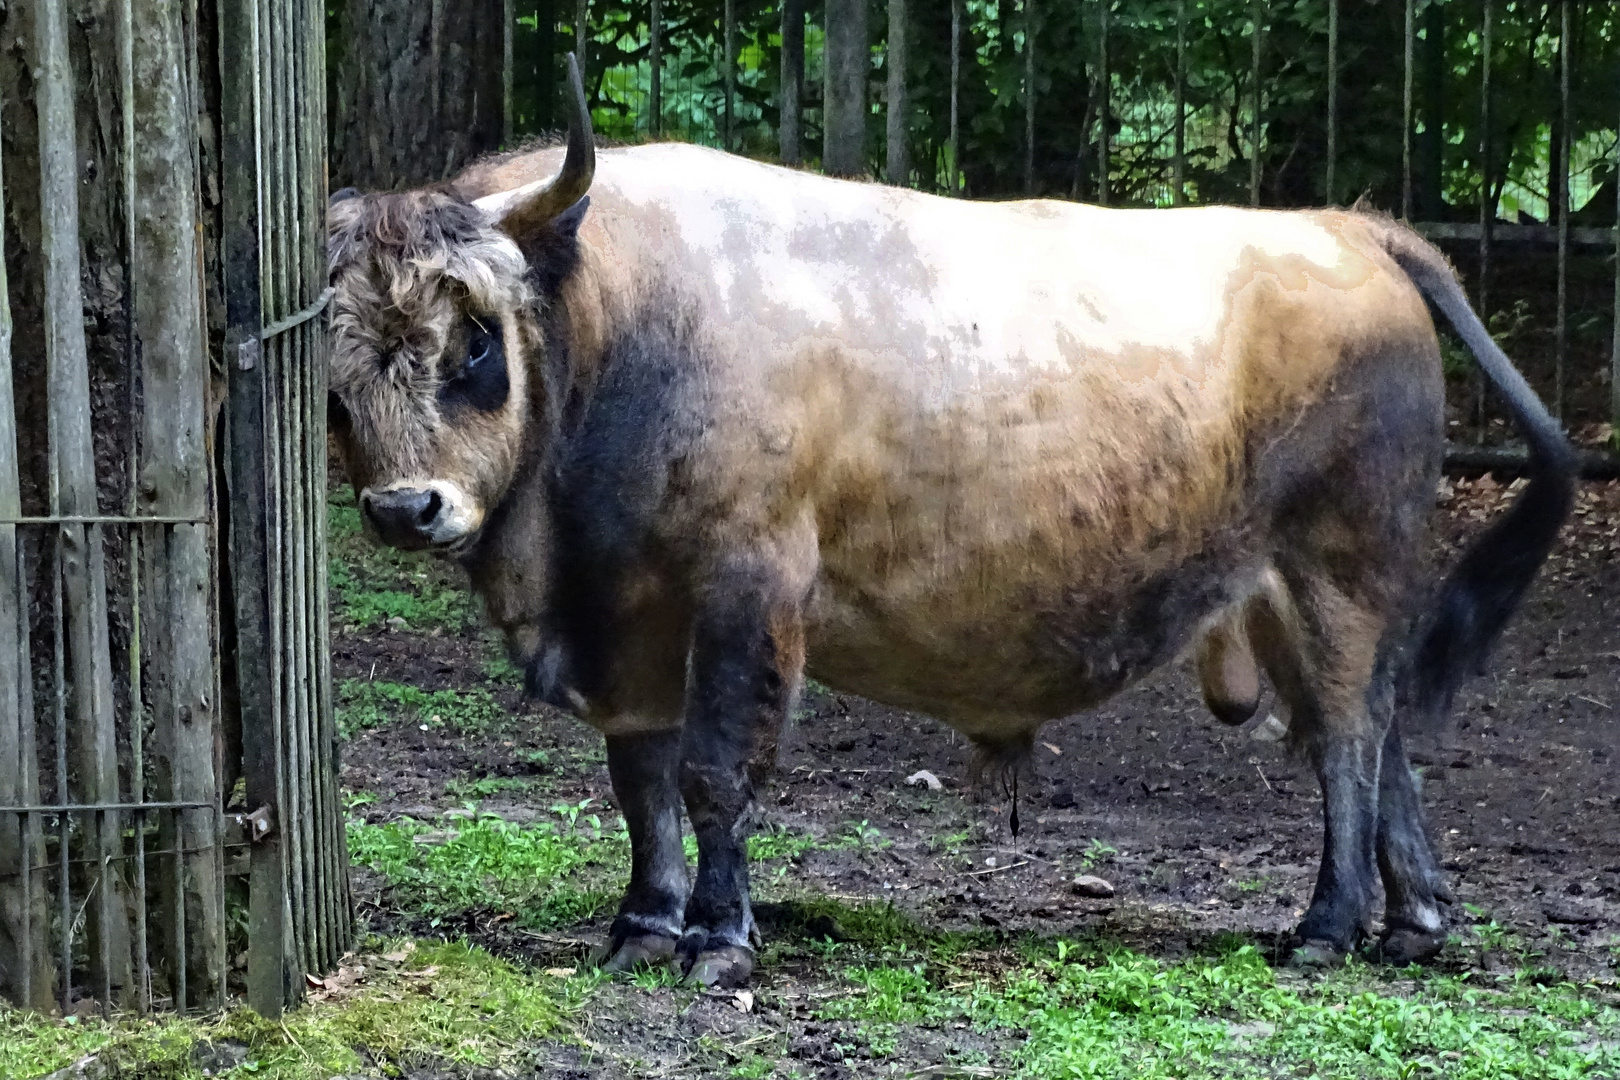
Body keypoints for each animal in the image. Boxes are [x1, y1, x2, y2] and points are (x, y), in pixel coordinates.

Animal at [322, 59, 1574, 990]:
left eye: (476, 337)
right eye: (335, 371)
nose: (404, 507)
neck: (622, 314)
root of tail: (1346, 231)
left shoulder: (746, 589)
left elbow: (719, 769)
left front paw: (719, 940)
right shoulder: (627, 613)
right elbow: (643, 780)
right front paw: (642, 925)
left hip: (1338, 568)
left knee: (1354, 735)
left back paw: (1327, 924)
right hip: (1289, 593)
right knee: (1377, 726)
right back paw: (1416, 921)